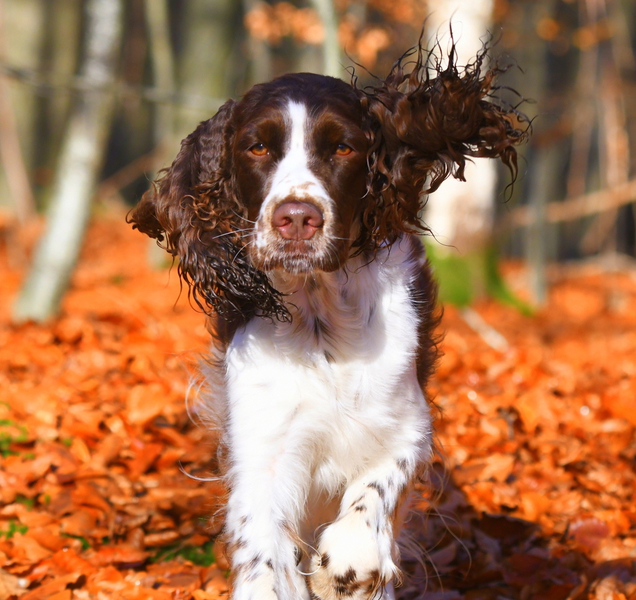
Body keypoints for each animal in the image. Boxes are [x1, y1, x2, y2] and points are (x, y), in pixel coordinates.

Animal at [129, 42, 523, 600]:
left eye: (343, 148)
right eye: (256, 147)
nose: (297, 218)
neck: (321, 322)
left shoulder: (404, 422)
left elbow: (376, 488)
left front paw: (348, 563)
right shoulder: (264, 444)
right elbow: (262, 547)